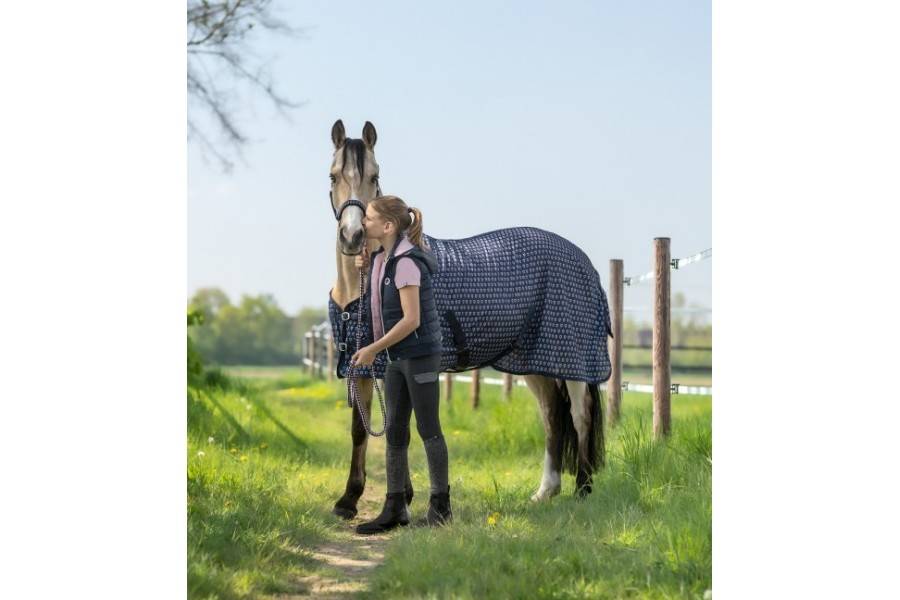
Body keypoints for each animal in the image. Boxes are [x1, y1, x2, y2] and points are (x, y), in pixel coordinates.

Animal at [326, 120, 612, 520]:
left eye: (374, 176)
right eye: (334, 175)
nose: (353, 236)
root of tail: (583, 260)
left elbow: (399, 427)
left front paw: (396, 500)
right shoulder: (364, 364)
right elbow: (363, 428)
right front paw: (350, 500)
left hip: (573, 359)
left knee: (580, 414)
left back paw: (583, 489)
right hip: (538, 363)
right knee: (553, 417)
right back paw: (545, 492)